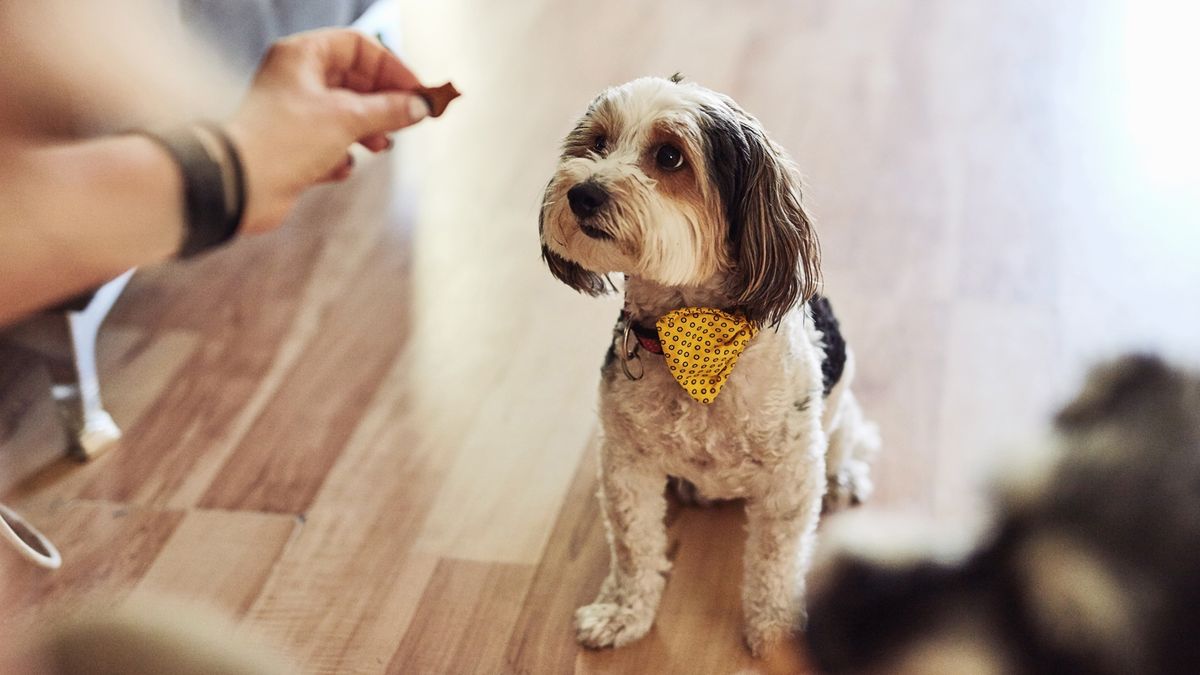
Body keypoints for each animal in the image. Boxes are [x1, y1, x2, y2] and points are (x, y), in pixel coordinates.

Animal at [542, 74, 883, 653]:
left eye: (670, 156)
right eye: (597, 143)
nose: (582, 192)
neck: (693, 344)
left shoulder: (791, 477)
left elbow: (776, 561)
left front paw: (776, 629)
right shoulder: (626, 464)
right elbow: (633, 546)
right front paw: (622, 612)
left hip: (837, 424)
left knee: (846, 445)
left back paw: (844, 481)